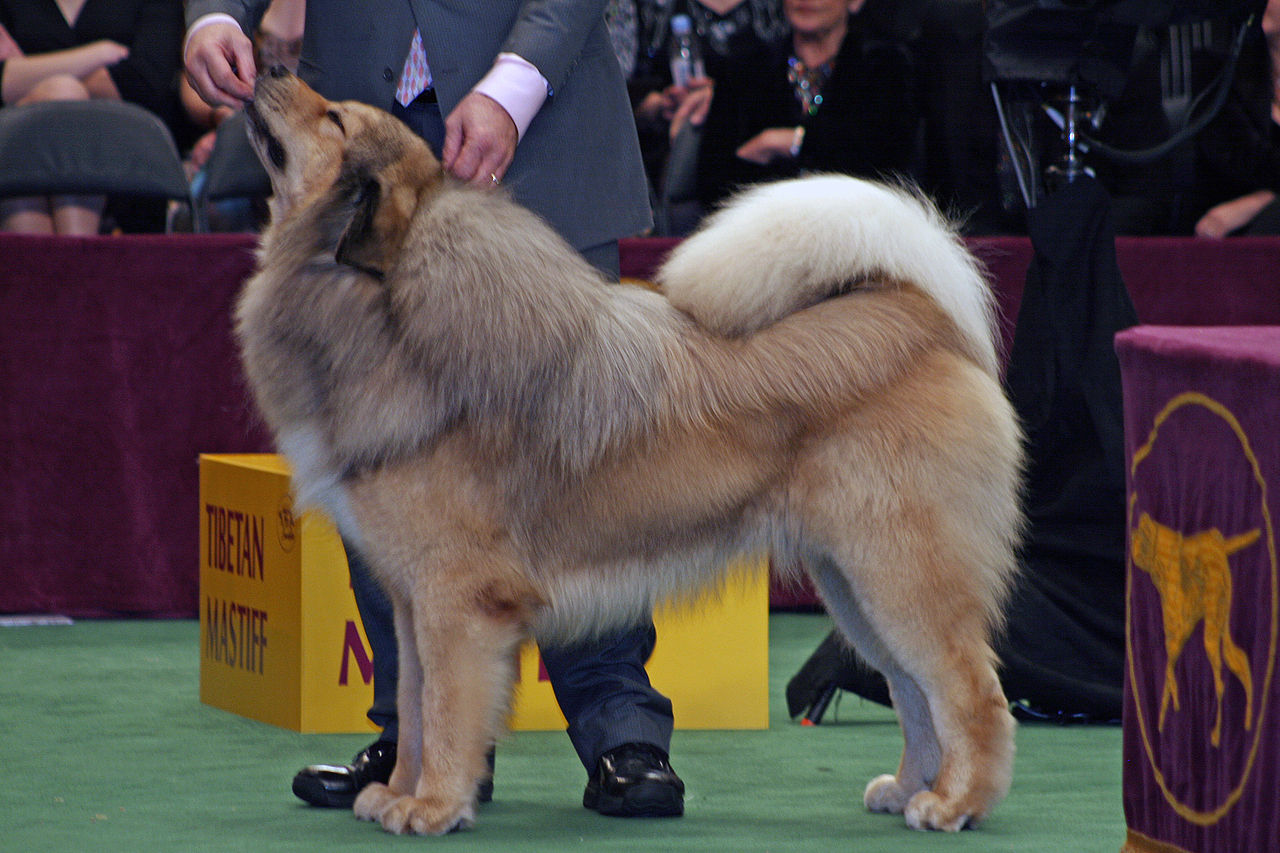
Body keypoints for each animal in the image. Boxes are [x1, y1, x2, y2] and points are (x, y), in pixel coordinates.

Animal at [238, 69, 1018, 835]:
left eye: (334, 118)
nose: (267, 65)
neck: (386, 309)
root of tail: (916, 313)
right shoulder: (408, 599)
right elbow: (413, 703)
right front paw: (396, 790)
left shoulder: (455, 601)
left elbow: (449, 711)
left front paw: (433, 806)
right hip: (854, 582)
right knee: (913, 689)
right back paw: (910, 787)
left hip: (903, 571)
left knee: (970, 691)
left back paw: (956, 803)